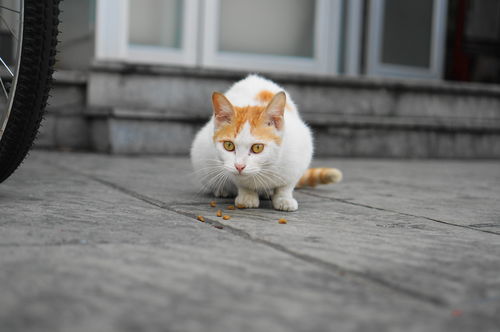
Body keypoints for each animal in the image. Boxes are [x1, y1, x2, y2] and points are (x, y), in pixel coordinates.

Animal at [189, 74, 342, 211]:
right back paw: (222, 190)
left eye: (257, 147)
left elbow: (287, 185)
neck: (265, 169)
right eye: (229, 145)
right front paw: (247, 196)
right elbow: (241, 183)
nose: (239, 166)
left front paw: (284, 199)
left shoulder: (300, 153)